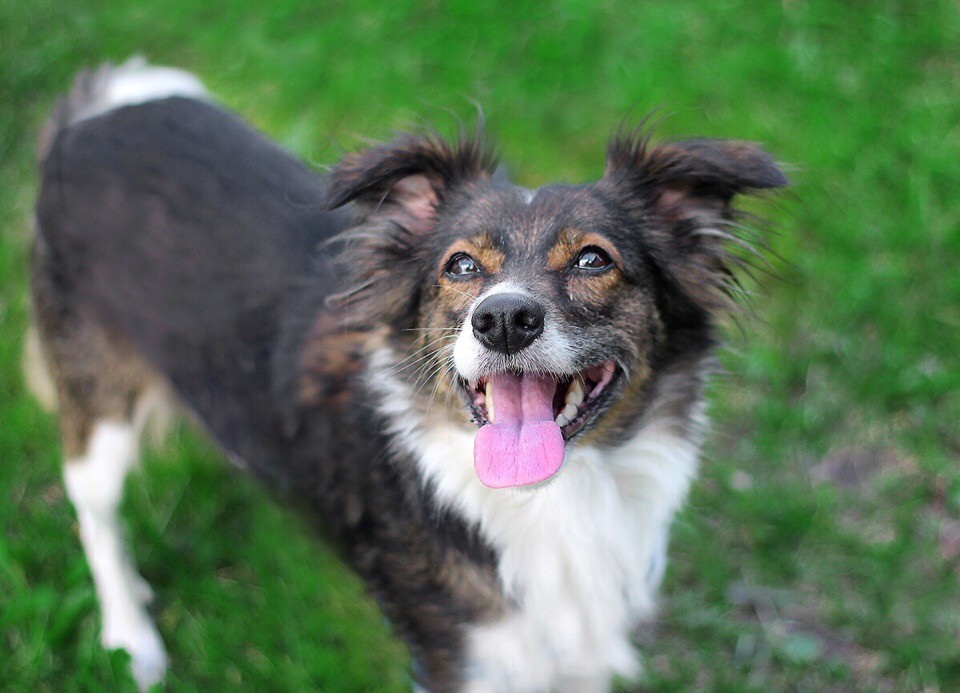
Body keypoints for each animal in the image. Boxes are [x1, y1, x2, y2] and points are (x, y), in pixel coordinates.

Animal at [24, 59, 788, 688]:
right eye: (462, 265)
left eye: (594, 259)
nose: (502, 319)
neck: (555, 499)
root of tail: (98, 107)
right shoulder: (464, 657)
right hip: (97, 403)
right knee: (95, 514)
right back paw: (131, 635)